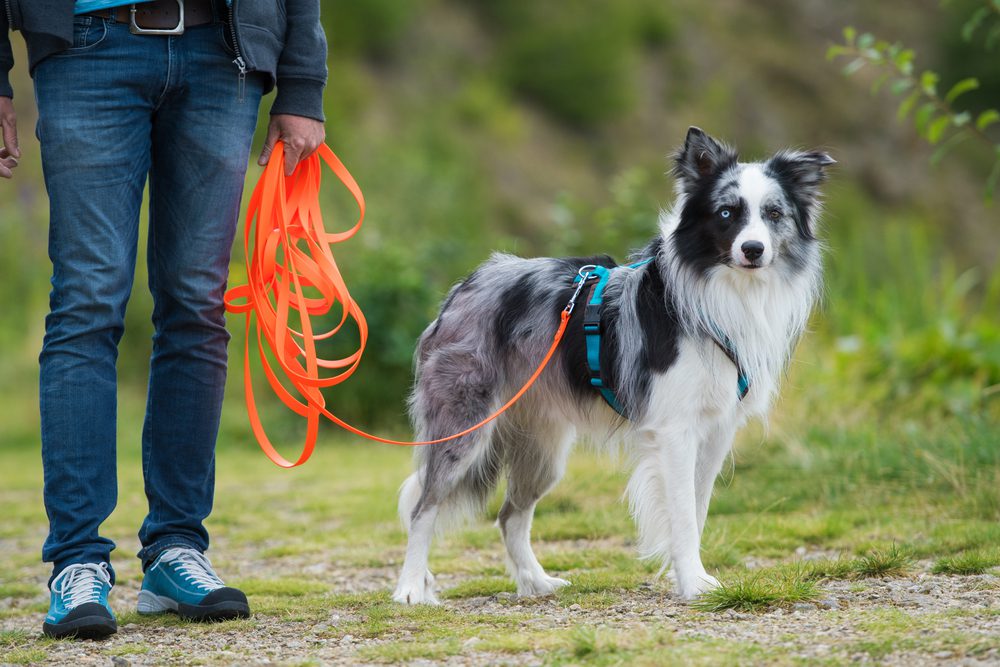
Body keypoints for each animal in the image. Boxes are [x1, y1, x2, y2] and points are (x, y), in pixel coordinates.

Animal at [394, 128, 832, 604]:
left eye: (774, 214)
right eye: (727, 213)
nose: (753, 249)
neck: (725, 292)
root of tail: (464, 287)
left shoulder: (717, 430)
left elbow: (697, 507)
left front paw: (696, 577)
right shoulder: (675, 430)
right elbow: (681, 514)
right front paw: (691, 583)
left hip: (543, 448)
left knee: (510, 514)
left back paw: (536, 582)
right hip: (466, 426)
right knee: (423, 506)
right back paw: (411, 589)